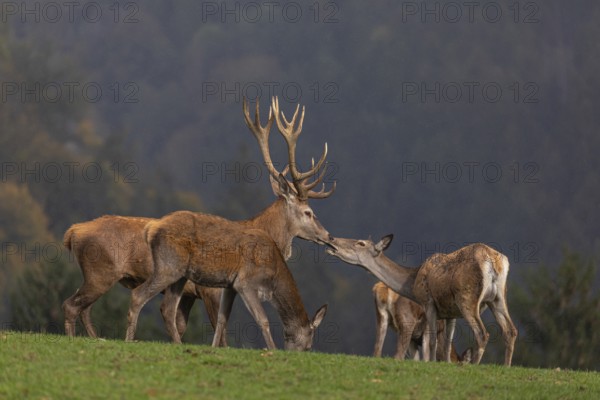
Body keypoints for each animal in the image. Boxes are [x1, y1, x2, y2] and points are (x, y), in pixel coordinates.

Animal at [62, 214, 224, 342]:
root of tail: (74, 231)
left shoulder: (189, 294)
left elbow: (181, 324)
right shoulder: (209, 291)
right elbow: (218, 326)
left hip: (98, 276)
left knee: (84, 308)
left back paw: (96, 338)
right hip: (101, 274)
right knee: (71, 305)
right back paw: (73, 339)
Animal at [124, 97, 336, 350]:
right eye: (308, 212)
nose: (329, 236)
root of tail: (151, 229)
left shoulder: (224, 288)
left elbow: (221, 324)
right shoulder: (217, 289)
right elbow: (234, 326)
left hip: (180, 278)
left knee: (167, 311)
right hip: (168, 268)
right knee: (138, 297)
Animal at [326, 236, 516, 368]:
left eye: (361, 243)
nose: (332, 241)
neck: (412, 284)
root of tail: (495, 261)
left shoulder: (429, 302)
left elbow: (432, 342)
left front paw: (432, 364)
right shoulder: (450, 312)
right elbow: (446, 345)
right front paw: (446, 364)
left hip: (466, 298)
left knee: (482, 333)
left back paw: (475, 366)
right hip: (498, 297)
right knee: (510, 330)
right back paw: (506, 367)